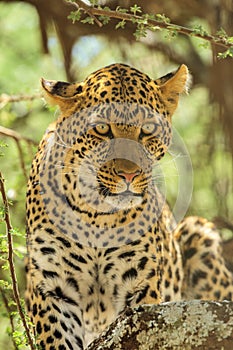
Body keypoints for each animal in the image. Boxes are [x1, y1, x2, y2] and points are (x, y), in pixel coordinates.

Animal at [25, 63, 233, 350]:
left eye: (147, 128)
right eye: (102, 128)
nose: (129, 174)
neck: (96, 215)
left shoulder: (138, 286)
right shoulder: (53, 287)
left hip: (199, 234)